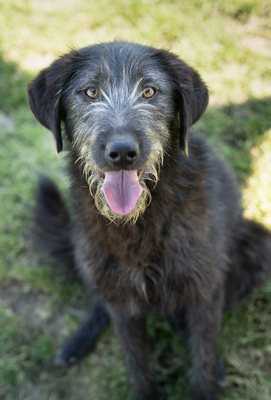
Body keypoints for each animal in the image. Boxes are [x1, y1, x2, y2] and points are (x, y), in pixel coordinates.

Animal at [27, 41, 271, 400]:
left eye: (149, 91)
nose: (122, 153)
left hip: (257, 250)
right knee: (100, 301)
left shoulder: (204, 287)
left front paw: (208, 376)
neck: (138, 223)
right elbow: (136, 363)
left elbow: (202, 357)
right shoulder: (122, 302)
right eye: (90, 91)